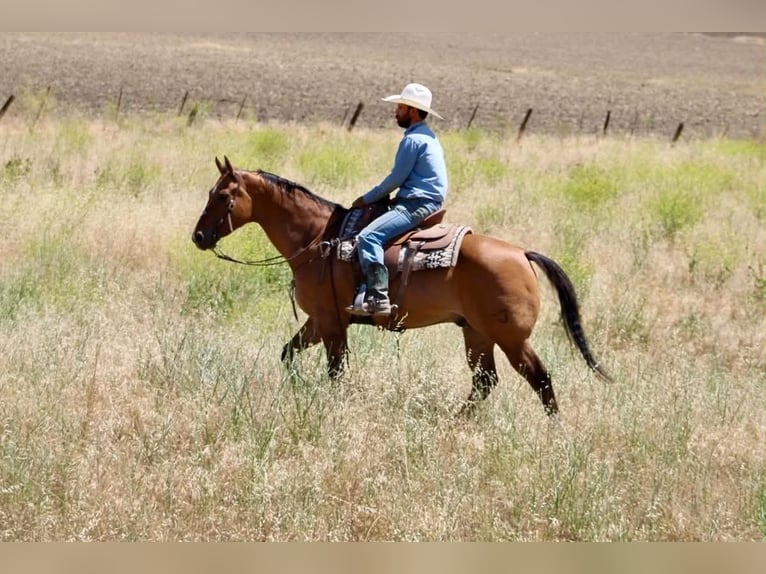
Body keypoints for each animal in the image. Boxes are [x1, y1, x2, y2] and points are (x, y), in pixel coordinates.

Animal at [192, 156, 611, 417]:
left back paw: (555, 430)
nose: (198, 236)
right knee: (485, 381)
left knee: (539, 378)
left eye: (223, 196)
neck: (317, 240)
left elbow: (335, 370)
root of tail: (522, 254)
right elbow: (287, 354)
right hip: (477, 333)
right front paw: (301, 387)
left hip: (510, 338)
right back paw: (456, 421)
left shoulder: (330, 322)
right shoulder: (318, 322)